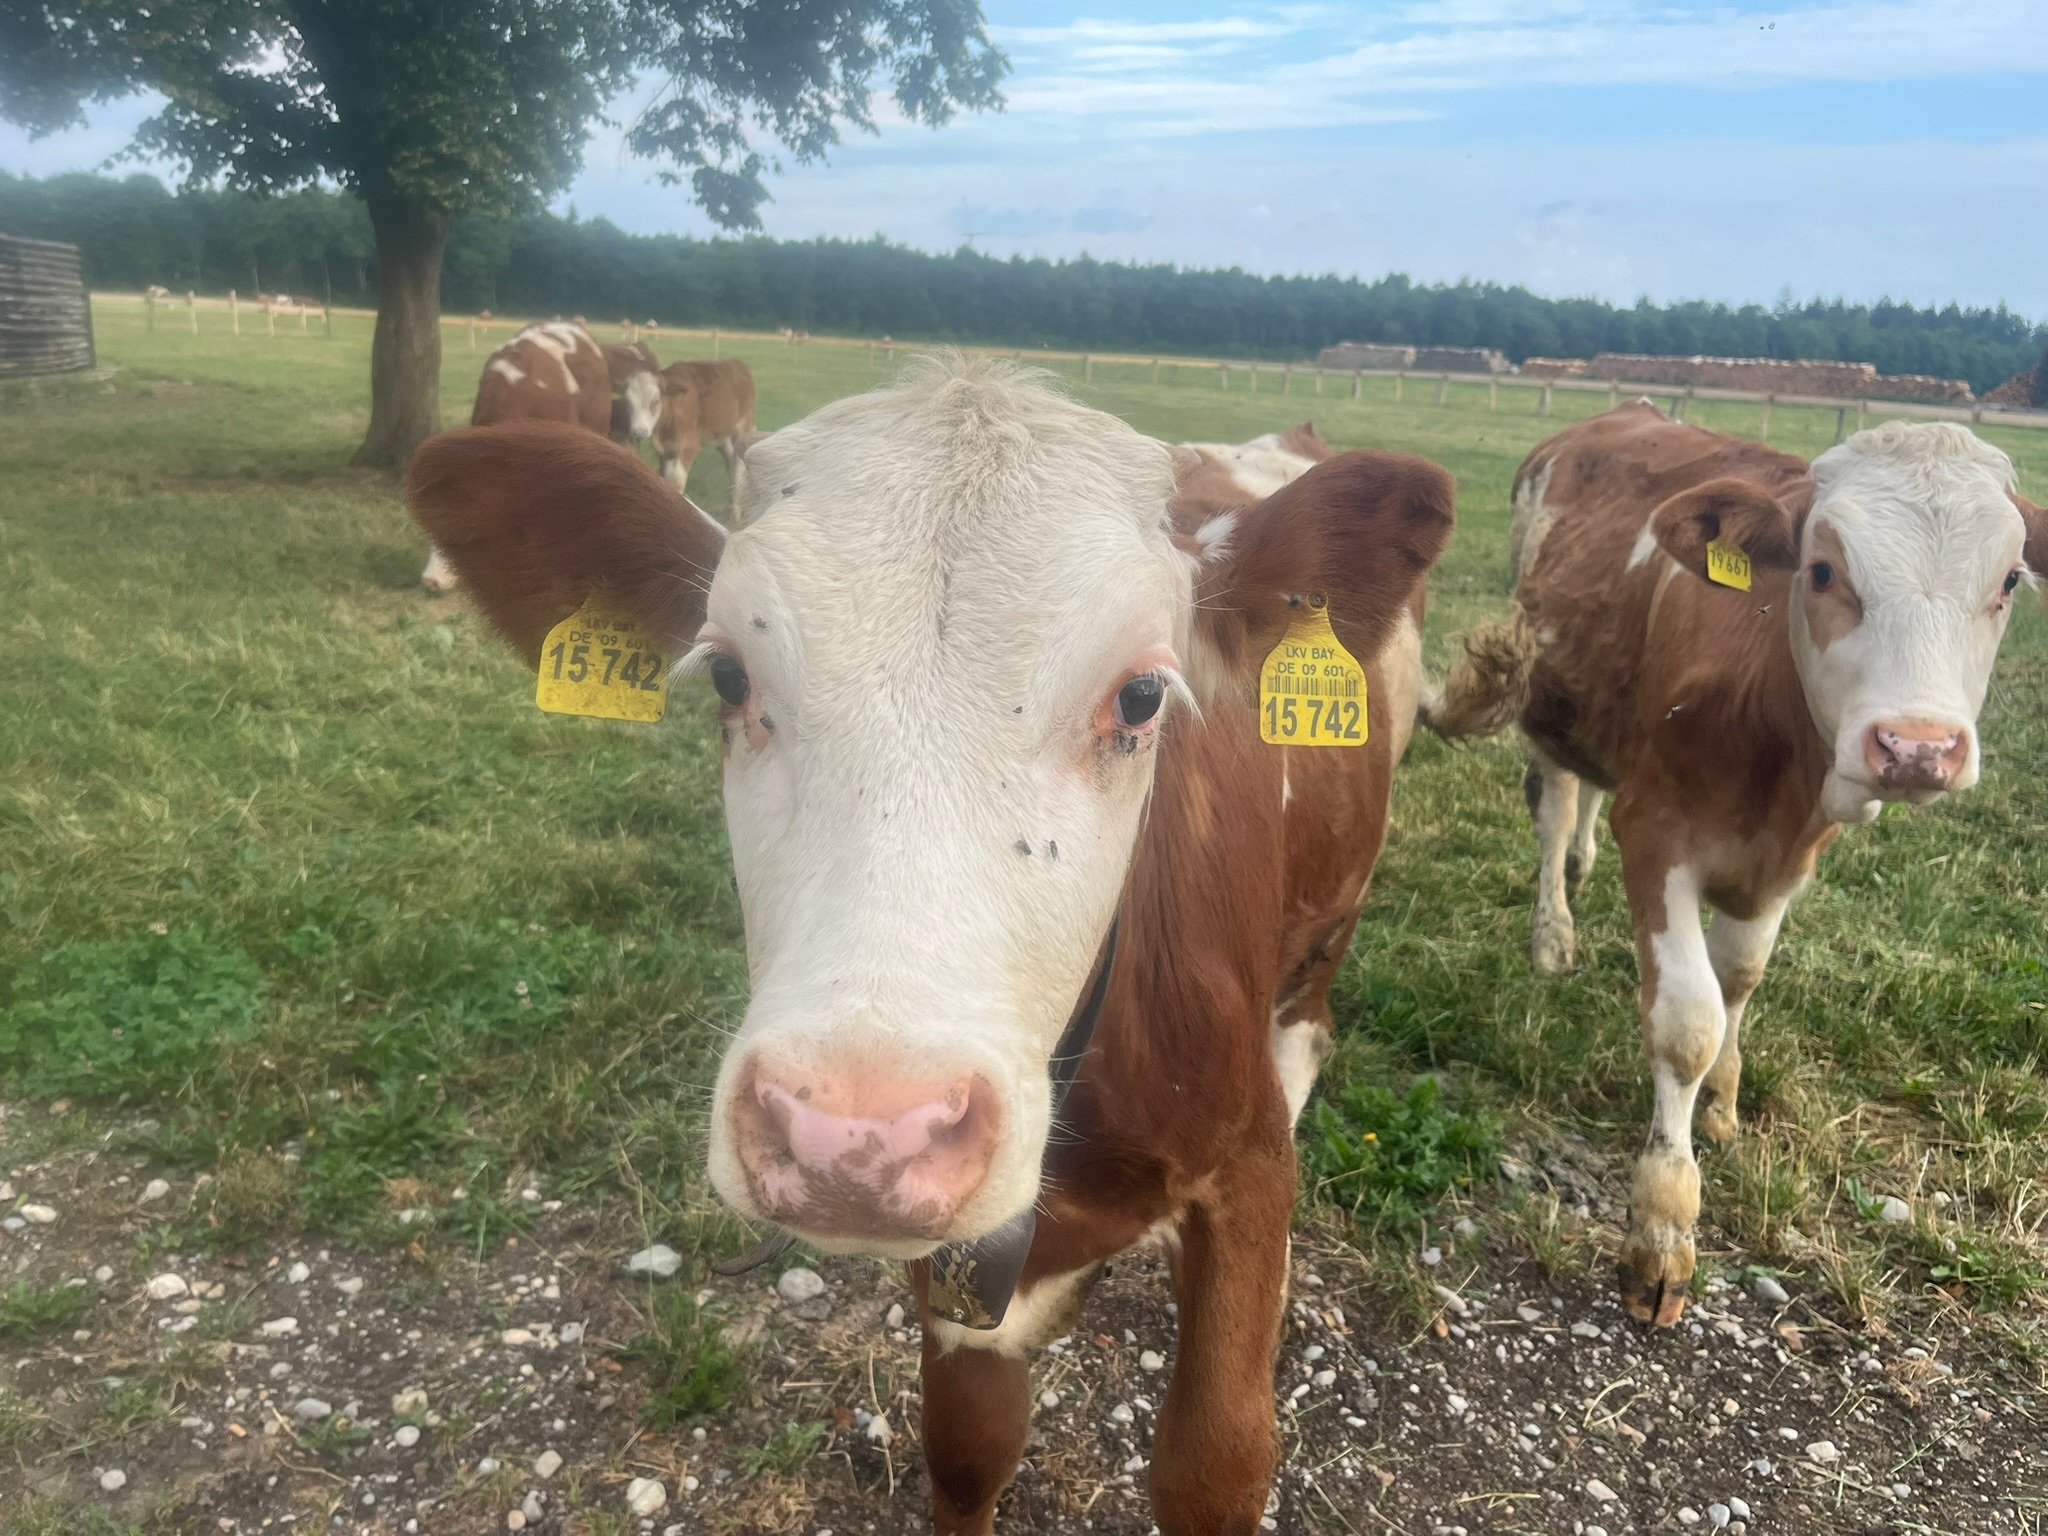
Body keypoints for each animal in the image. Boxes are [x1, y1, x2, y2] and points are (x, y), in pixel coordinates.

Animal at [651, 358, 758, 491]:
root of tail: (737, 363)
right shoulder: (665, 449)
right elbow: (665, 475)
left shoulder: (689, 444)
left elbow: (677, 480)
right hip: (723, 435)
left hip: (743, 427)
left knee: (739, 465)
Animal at [1426, 402, 2047, 1328]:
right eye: (1821, 570)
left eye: (2008, 581)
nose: (1917, 749)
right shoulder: (1658, 834)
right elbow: (1688, 1022)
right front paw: (1662, 1226)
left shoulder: (1786, 860)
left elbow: (1740, 980)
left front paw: (1721, 1102)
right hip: (1546, 696)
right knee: (1556, 800)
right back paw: (1553, 931)